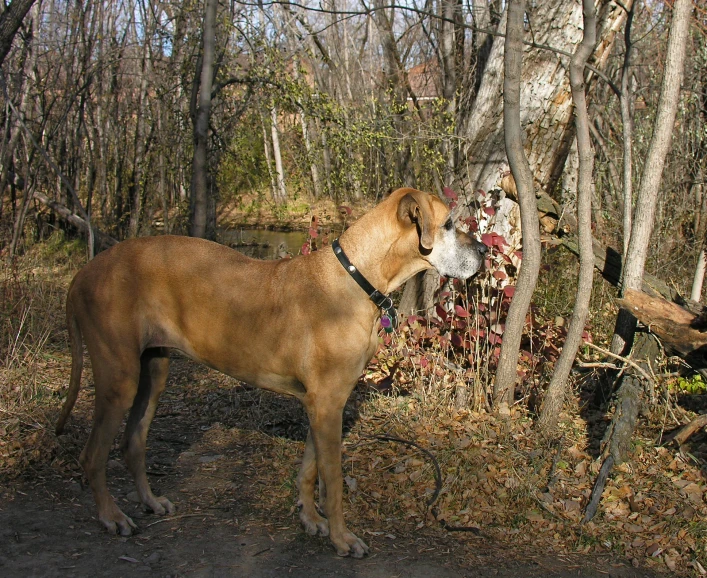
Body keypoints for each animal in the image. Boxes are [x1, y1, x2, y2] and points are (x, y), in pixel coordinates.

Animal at [55, 187, 486, 556]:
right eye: (448, 224)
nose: (483, 249)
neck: (356, 275)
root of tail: (84, 273)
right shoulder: (327, 404)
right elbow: (333, 483)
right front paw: (342, 538)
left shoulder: (323, 404)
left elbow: (310, 470)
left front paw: (311, 520)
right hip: (119, 377)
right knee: (92, 455)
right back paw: (111, 517)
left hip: (154, 372)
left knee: (132, 442)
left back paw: (149, 501)